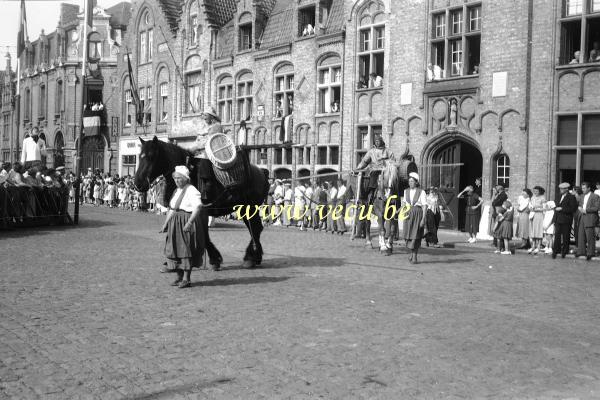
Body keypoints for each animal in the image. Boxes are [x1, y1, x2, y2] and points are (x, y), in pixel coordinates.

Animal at [136, 137, 270, 268]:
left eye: (151, 156)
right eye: (140, 156)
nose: (137, 183)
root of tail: (262, 172)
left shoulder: (201, 211)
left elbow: (204, 235)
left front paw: (215, 259)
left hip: (249, 208)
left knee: (255, 228)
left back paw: (250, 258)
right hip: (244, 209)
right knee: (256, 228)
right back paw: (255, 257)